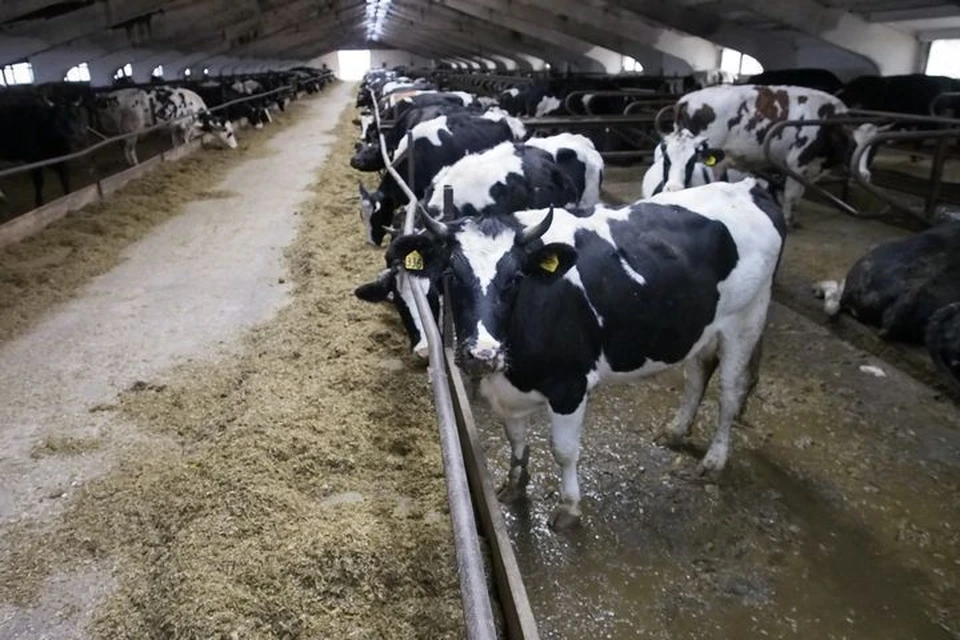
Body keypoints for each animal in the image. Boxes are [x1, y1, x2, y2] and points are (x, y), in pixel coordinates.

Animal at [95, 86, 237, 166]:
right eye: (229, 133)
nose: (236, 146)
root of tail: (111, 96)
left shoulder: (175, 128)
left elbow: (176, 144)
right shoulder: (186, 127)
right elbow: (186, 142)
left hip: (123, 132)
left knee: (124, 149)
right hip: (132, 130)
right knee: (130, 149)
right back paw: (135, 164)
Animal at [386, 179, 786, 528]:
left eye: (515, 278)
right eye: (453, 274)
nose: (482, 355)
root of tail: (748, 186)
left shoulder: (569, 385)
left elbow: (563, 450)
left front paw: (568, 509)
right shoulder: (506, 389)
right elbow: (515, 438)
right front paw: (514, 485)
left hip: (745, 320)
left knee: (730, 391)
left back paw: (714, 460)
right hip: (703, 329)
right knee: (697, 374)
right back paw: (675, 430)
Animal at [648, 84, 875, 227]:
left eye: (873, 150)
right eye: (852, 146)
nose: (865, 175)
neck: (826, 123)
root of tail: (685, 100)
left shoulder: (808, 169)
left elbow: (799, 195)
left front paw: (795, 219)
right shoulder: (796, 163)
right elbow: (791, 194)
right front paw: (788, 219)